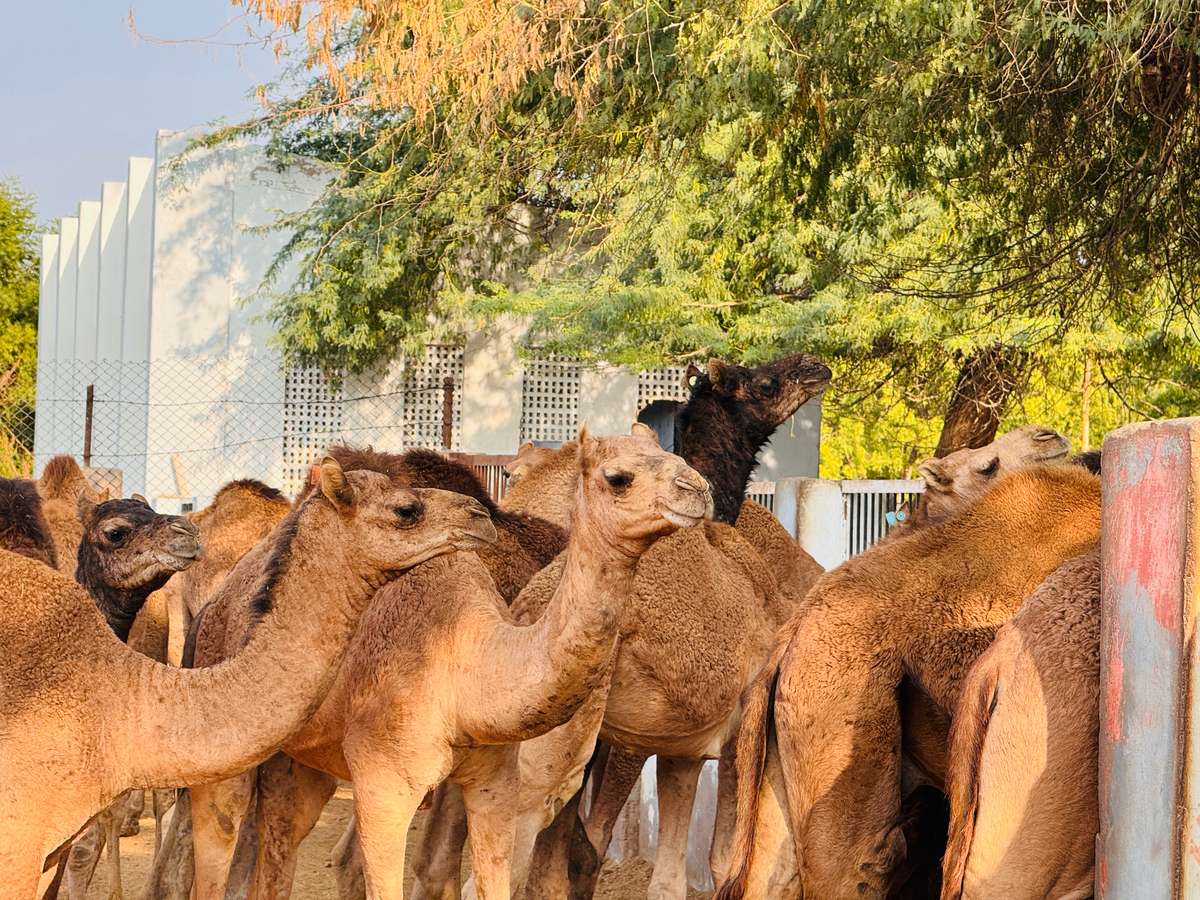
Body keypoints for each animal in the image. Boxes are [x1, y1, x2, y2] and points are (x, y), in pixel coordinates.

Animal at [184, 429, 708, 900]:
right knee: (227, 838)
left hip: (303, 760)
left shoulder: (495, 785)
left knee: (279, 841)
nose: (698, 489)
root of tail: (221, 597)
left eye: (672, 454)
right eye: (618, 477)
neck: (468, 666)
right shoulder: (384, 786)